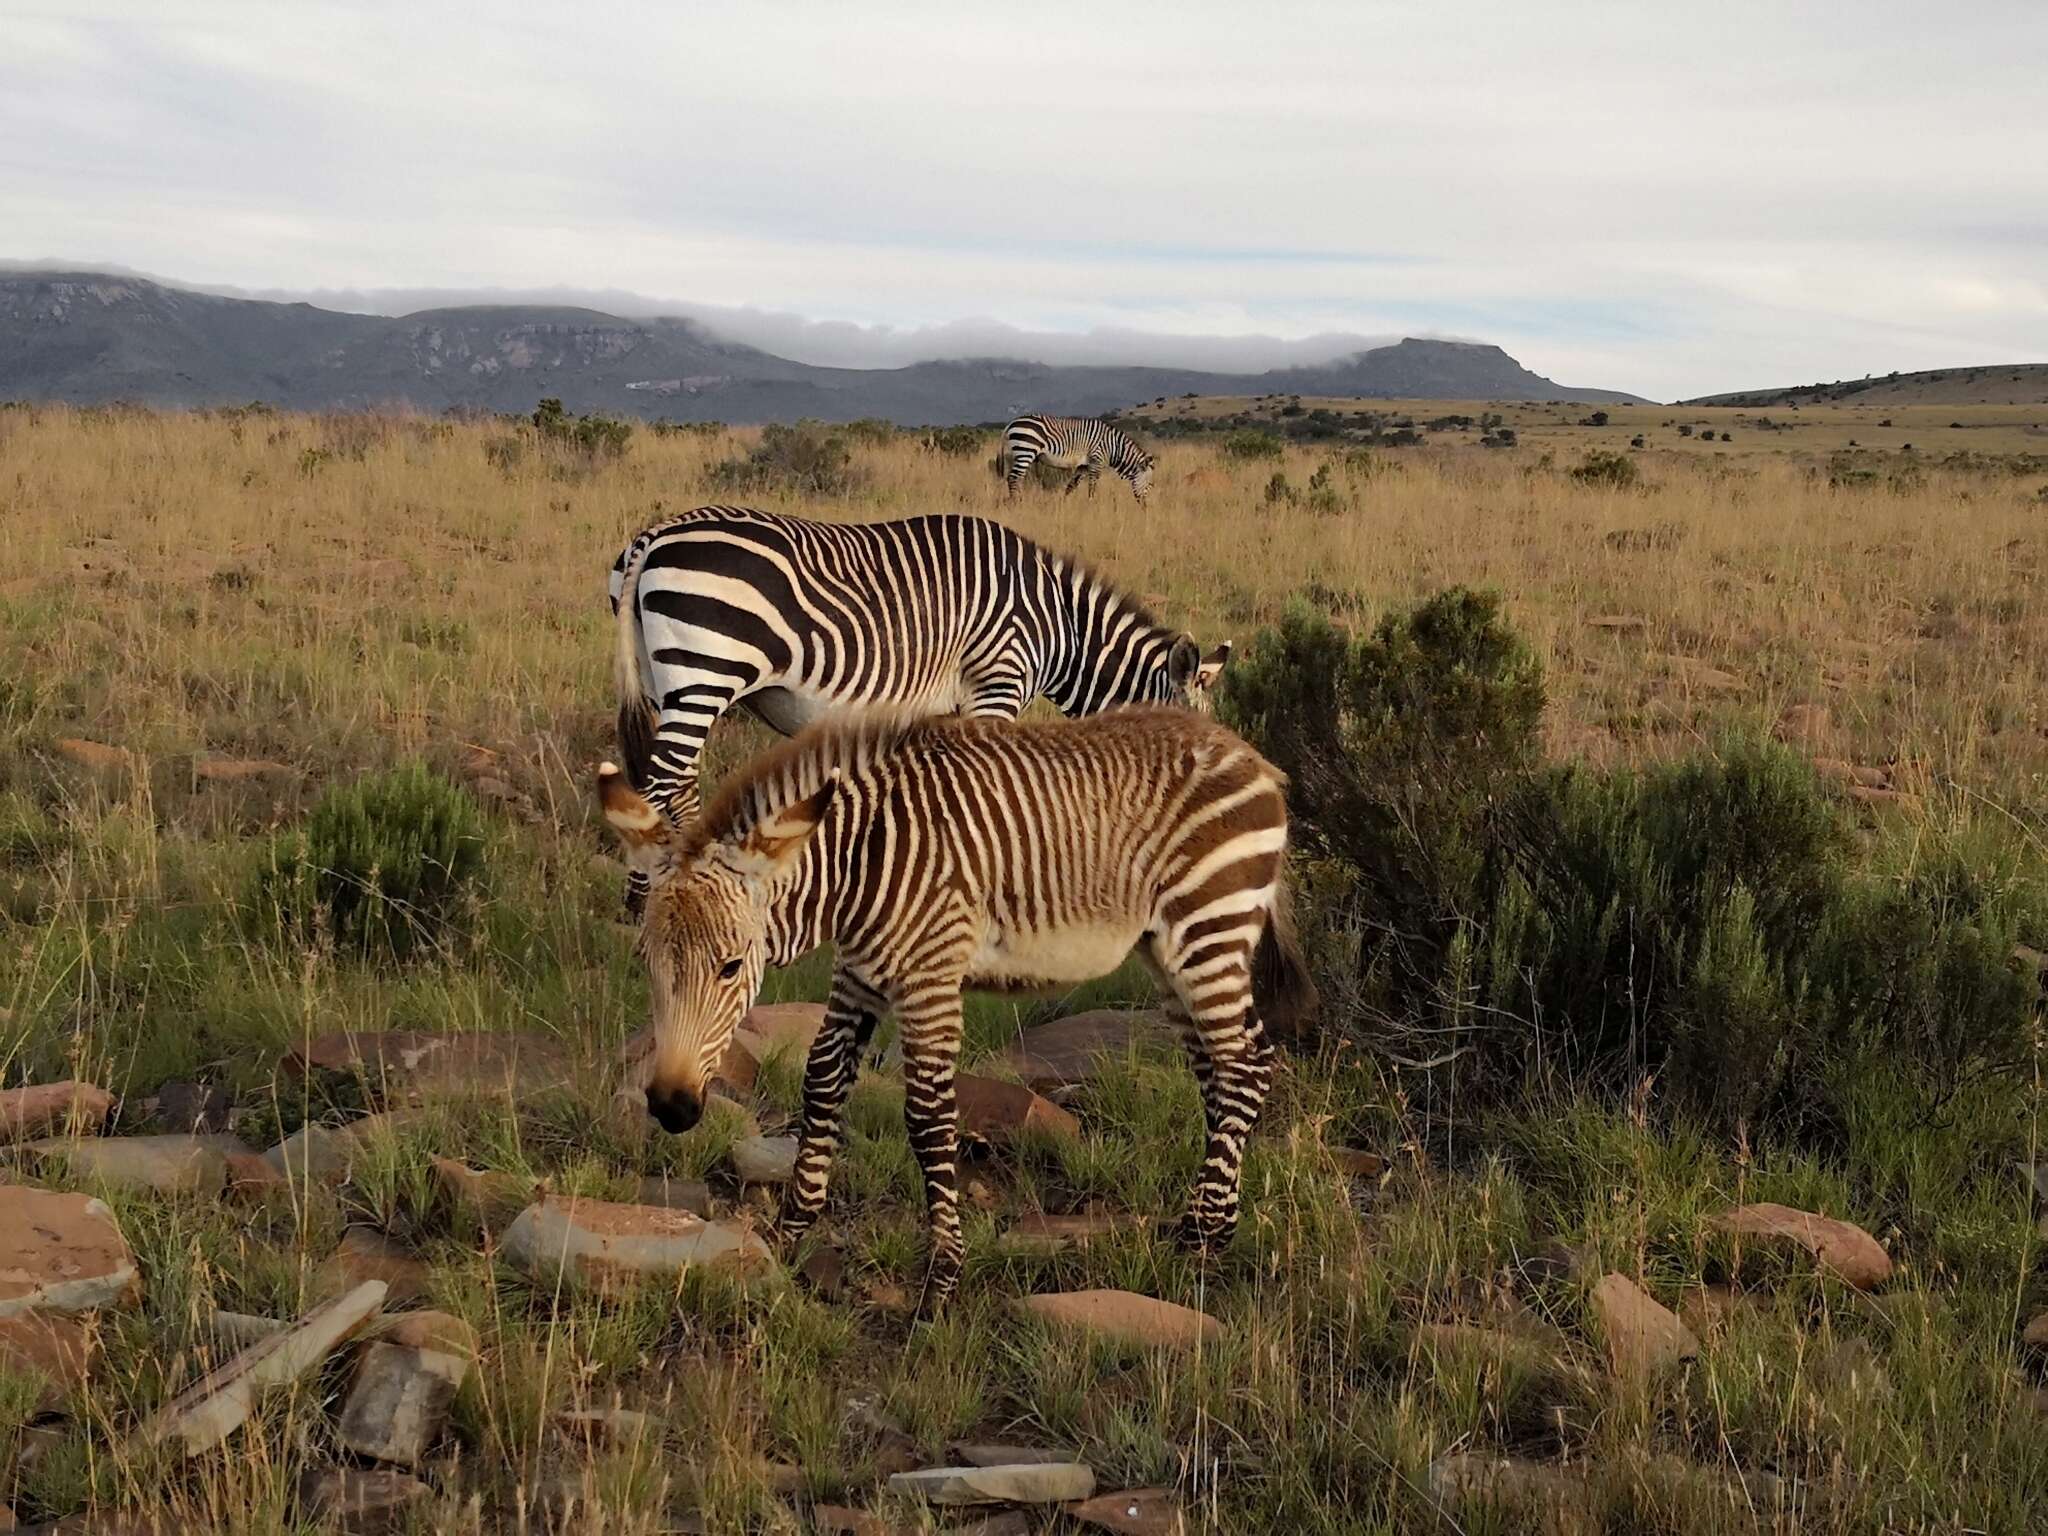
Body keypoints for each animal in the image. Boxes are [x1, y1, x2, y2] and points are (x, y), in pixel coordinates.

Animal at [598, 708, 1318, 1310]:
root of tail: (1250, 754)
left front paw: (943, 1277)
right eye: (645, 962)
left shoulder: (930, 974)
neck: (859, 863)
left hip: (1208, 925)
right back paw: (1204, 1223)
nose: (671, 1107)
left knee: (1245, 1064)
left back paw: (1207, 1239)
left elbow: (927, 1118)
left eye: (730, 967)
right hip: (1168, 951)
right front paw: (793, 1226)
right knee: (1221, 1068)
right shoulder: (858, 971)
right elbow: (822, 1082)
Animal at [1003, 415, 1163, 505]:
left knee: (1019, 478)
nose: (1144, 507)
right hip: (1026, 450)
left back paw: (1021, 500)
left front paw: (1064, 504)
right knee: (1013, 477)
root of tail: (1011, 423)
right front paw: (1091, 505)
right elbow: (1092, 487)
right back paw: (1015, 503)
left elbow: (1071, 486)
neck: (1114, 448)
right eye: (1150, 484)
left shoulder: (1083, 466)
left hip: (1024, 453)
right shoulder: (1096, 461)